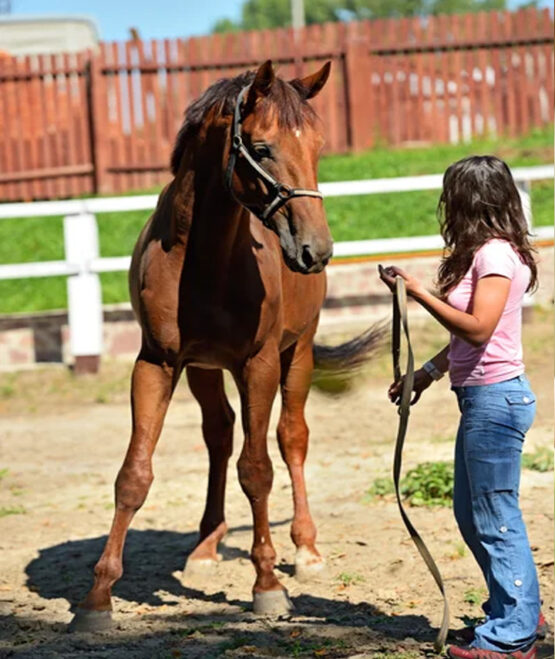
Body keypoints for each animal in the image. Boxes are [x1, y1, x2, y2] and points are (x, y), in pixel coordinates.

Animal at [68, 62, 382, 636]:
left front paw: (268, 585)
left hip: (298, 354)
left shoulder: (258, 363)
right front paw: (97, 598)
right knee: (219, 434)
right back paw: (206, 545)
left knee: (291, 439)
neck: (206, 255)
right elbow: (134, 475)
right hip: (204, 370)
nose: (317, 250)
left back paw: (305, 549)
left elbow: (257, 469)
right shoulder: (157, 363)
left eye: (319, 146)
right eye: (261, 147)